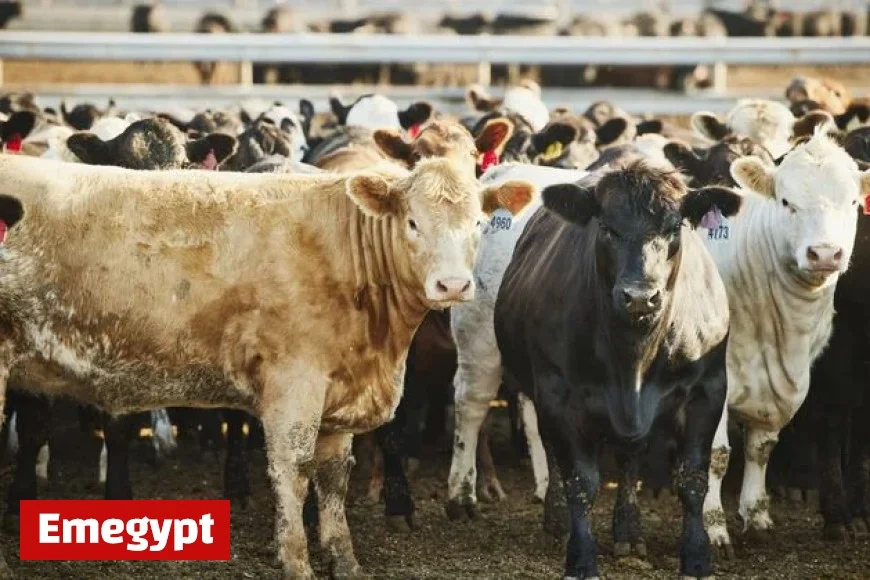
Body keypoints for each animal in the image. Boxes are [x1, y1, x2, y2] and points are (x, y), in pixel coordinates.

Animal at [0, 154, 534, 576]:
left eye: (478, 224)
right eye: (413, 224)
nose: (453, 285)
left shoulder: (337, 394)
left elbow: (333, 478)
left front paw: (344, 559)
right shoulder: (294, 385)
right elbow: (293, 472)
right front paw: (296, 560)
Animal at [493, 160, 740, 578]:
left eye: (674, 228)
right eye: (607, 228)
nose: (639, 297)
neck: (633, 359)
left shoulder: (707, 389)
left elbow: (692, 479)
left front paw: (696, 556)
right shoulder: (557, 394)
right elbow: (580, 481)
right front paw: (581, 558)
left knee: (630, 456)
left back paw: (629, 530)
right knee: (554, 453)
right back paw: (558, 520)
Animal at [700, 128, 870, 556]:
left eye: (852, 203)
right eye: (786, 201)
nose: (824, 253)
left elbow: (761, 447)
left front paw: (757, 516)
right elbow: (717, 454)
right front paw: (713, 529)